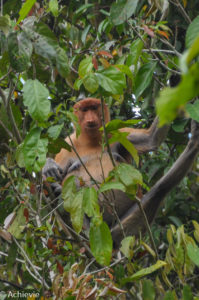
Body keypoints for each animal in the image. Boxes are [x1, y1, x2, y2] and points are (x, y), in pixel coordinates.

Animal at [43, 98, 199, 246]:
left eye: (94, 108)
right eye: (85, 110)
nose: (90, 119)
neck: (92, 141)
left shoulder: (119, 132)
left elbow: (151, 139)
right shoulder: (67, 146)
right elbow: (57, 176)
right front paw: (49, 167)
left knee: (160, 190)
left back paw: (193, 143)